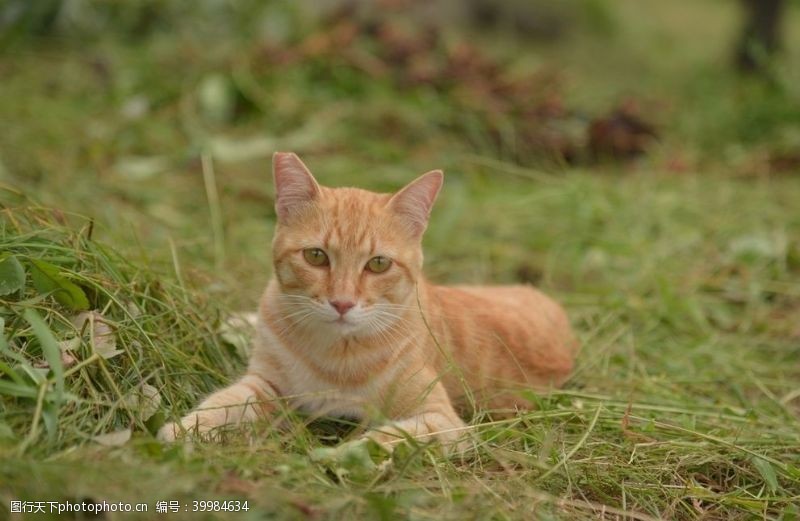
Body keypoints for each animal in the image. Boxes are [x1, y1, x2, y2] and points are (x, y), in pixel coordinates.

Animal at [159, 152, 576, 448]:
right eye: (316, 256)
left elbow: (392, 439)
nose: (342, 303)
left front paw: (342, 455)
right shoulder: (265, 384)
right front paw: (184, 429)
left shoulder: (440, 420)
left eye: (378, 264)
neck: (336, 353)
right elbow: (225, 403)